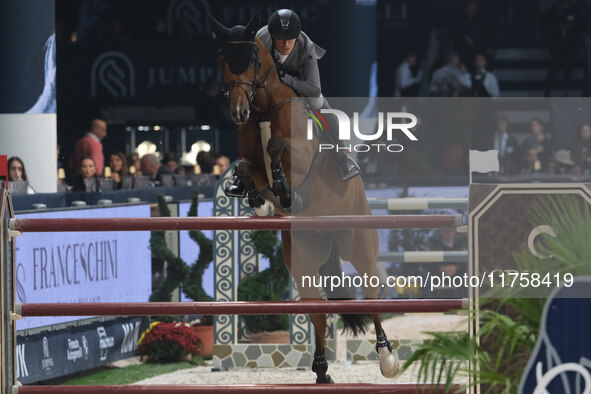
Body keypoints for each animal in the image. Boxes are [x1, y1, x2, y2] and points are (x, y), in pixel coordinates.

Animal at [208, 13, 398, 384]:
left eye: (253, 59)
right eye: (223, 58)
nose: (238, 112)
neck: (264, 108)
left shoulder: (302, 153)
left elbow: (277, 146)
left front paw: (283, 190)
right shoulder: (250, 160)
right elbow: (245, 167)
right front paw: (260, 202)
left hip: (359, 243)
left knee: (371, 294)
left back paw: (387, 358)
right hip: (305, 260)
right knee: (319, 314)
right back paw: (321, 370)